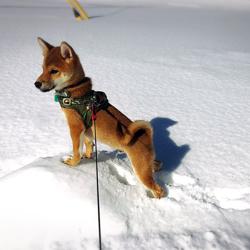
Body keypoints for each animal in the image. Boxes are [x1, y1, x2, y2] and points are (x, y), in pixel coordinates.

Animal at [34, 37, 164, 198]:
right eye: (42, 68)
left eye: (54, 71)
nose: (36, 84)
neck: (74, 91)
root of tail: (146, 135)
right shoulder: (87, 130)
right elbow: (88, 144)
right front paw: (88, 156)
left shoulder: (75, 127)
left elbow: (76, 150)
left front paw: (72, 163)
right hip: (147, 165)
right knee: (156, 166)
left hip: (141, 170)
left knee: (158, 189)